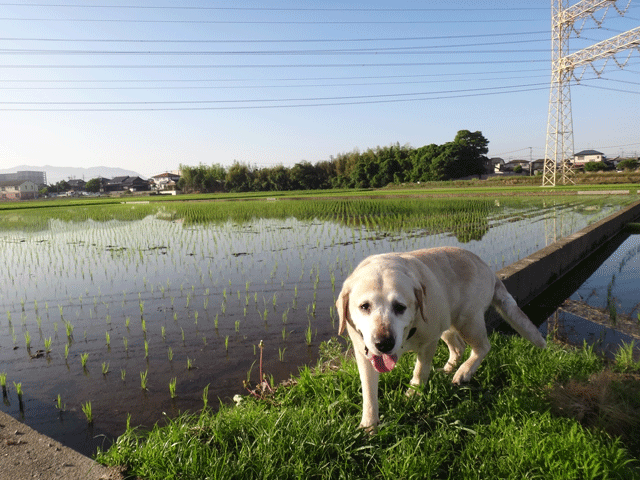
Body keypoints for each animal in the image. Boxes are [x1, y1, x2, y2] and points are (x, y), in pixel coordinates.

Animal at [336, 248, 544, 428]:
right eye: (364, 306)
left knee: (483, 347)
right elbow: (368, 390)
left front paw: (414, 393)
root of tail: (488, 269)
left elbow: (420, 371)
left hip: (467, 321)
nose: (384, 343)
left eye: (400, 307)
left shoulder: (429, 341)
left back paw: (464, 371)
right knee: (458, 347)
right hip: (447, 322)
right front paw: (369, 424)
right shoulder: (363, 353)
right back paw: (447, 369)